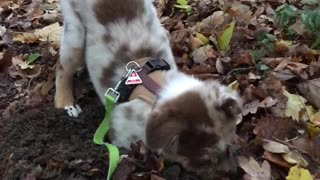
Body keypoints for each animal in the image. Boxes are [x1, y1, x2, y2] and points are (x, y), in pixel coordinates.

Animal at [55, 0, 241, 178]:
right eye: (205, 159)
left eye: (231, 143)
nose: (233, 172)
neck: (154, 90)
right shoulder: (121, 133)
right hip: (75, 32)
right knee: (62, 67)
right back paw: (65, 104)